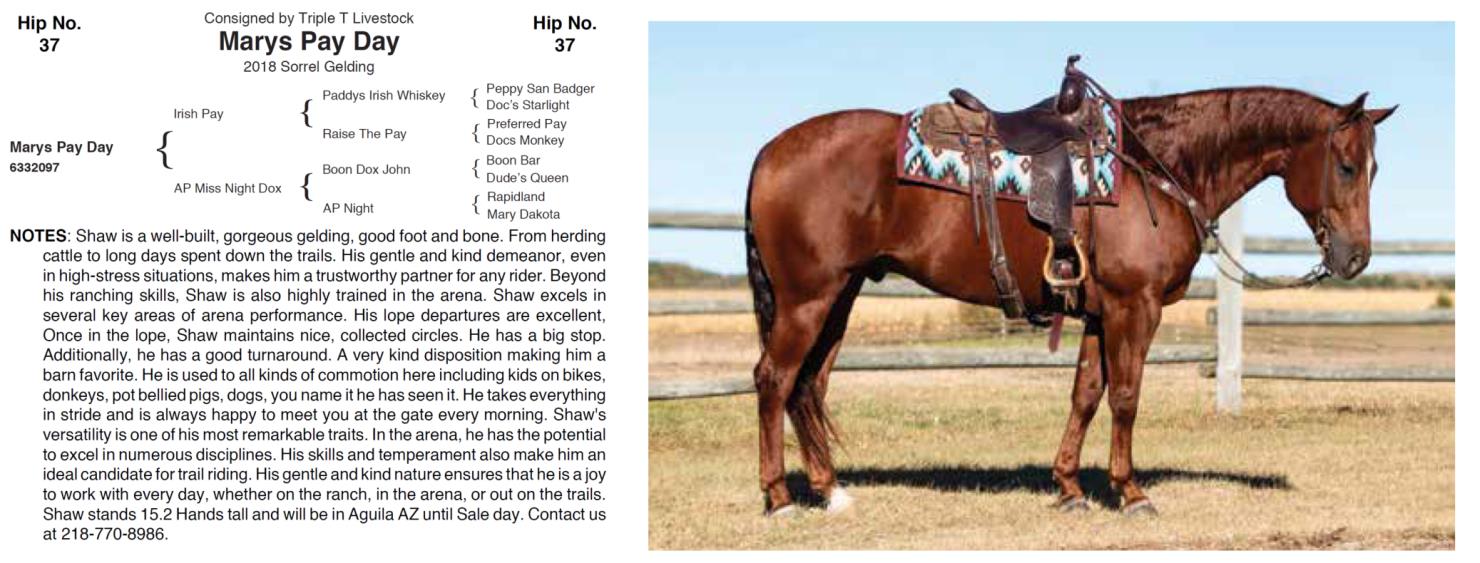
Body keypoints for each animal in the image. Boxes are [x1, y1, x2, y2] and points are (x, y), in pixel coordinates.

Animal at [743, 85, 1396, 516]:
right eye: (1345, 166)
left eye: (1374, 168)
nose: (1355, 258)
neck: (1155, 167)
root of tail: (771, 151)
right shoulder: (1136, 307)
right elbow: (1127, 397)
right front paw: (1130, 492)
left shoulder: (1101, 313)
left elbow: (1086, 394)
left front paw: (1070, 487)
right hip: (808, 298)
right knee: (775, 379)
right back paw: (779, 497)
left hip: (840, 295)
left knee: (809, 385)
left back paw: (830, 490)